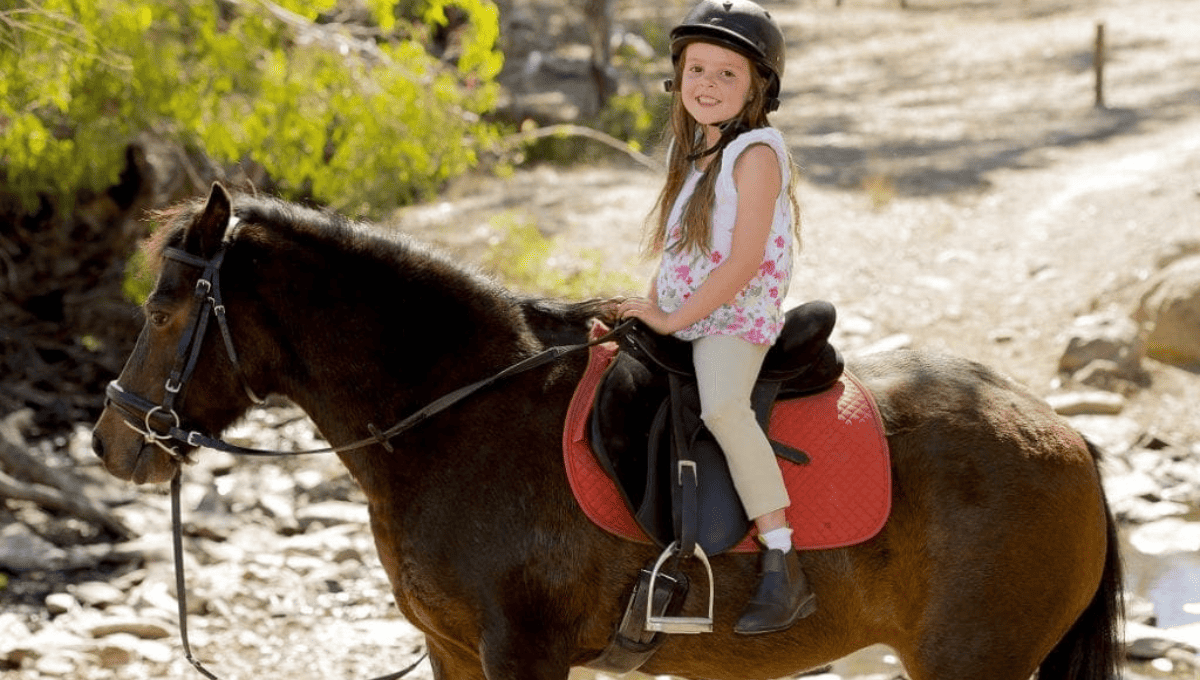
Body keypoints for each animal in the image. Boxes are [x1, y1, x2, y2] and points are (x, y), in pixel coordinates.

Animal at [88, 185, 1118, 680]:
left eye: (163, 309)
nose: (110, 442)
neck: (459, 415)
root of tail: (1068, 442)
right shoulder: (457, 652)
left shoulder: (524, 653)